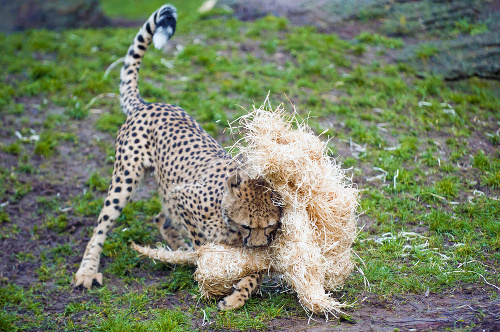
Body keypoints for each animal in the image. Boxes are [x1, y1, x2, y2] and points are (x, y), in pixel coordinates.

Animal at [71, 3, 282, 310]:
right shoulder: (184, 198)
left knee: (161, 218)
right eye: (246, 225)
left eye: (270, 226)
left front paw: (237, 296)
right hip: (125, 179)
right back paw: (87, 271)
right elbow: (202, 244)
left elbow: (252, 272)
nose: (256, 246)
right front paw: (209, 271)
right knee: (102, 225)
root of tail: (149, 104)